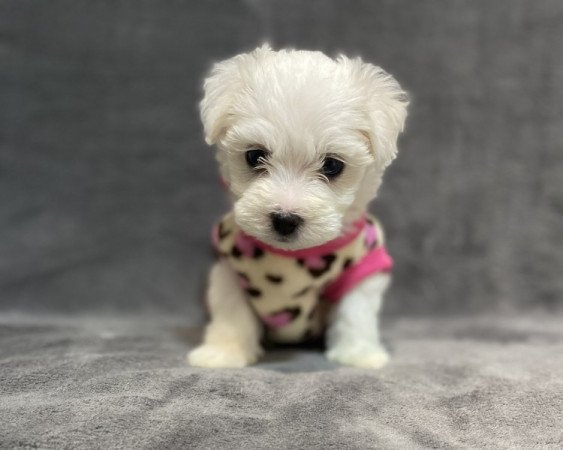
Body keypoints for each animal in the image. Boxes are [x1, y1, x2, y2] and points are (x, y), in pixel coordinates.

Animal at [187, 45, 408, 370]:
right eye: (254, 156)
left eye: (332, 165)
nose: (285, 219)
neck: (292, 257)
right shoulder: (228, 267)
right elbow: (231, 310)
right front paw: (223, 353)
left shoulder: (364, 265)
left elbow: (355, 311)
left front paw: (359, 354)